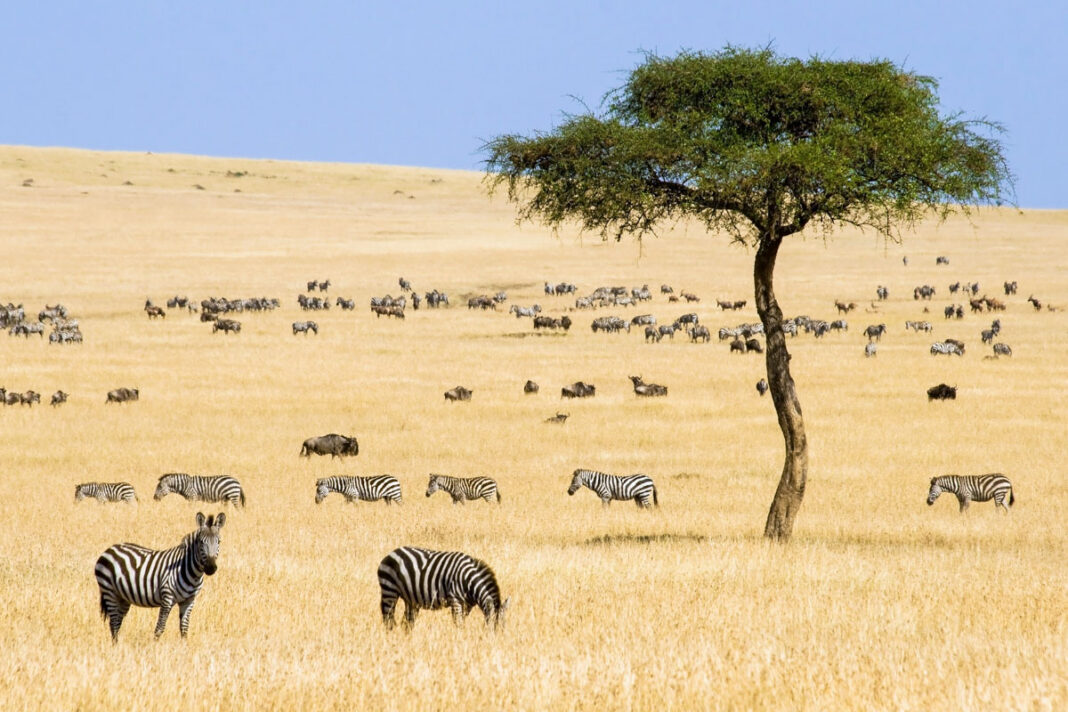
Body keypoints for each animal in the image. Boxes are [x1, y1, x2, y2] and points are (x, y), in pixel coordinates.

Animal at [95, 512, 226, 640]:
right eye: (201, 542)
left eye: (219, 542)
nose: (211, 568)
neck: (193, 574)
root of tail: (109, 549)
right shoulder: (167, 597)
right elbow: (160, 628)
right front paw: (155, 645)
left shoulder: (189, 600)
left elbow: (184, 629)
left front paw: (184, 646)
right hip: (109, 592)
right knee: (114, 623)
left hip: (123, 597)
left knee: (117, 622)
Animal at [378, 546, 509, 630]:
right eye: (493, 629)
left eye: (503, 628)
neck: (469, 580)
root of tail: (391, 553)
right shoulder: (455, 600)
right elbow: (458, 624)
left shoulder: (467, 605)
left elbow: (461, 622)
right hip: (389, 591)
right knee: (388, 619)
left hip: (410, 599)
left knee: (407, 623)